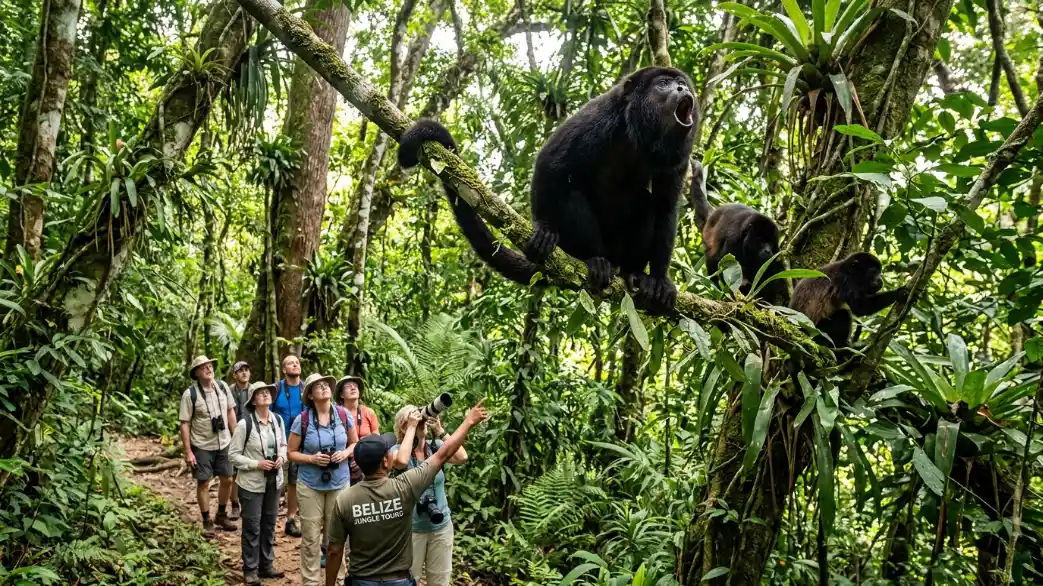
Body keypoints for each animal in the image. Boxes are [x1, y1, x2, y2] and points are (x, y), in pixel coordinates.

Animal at [397, 66, 697, 315]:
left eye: (681, 83)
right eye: (663, 84)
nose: (683, 90)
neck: (639, 136)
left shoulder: (679, 155)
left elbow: (666, 204)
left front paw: (659, 279)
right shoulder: (601, 116)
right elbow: (551, 162)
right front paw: (543, 230)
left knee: (647, 203)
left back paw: (633, 273)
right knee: (571, 190)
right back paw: (594, 260)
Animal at [689, 159, 787, 304]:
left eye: (770, 243)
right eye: (761, 240)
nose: (768, 251)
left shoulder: (775, 254)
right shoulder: (733, 241)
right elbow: (726, 265)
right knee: (713, 260)